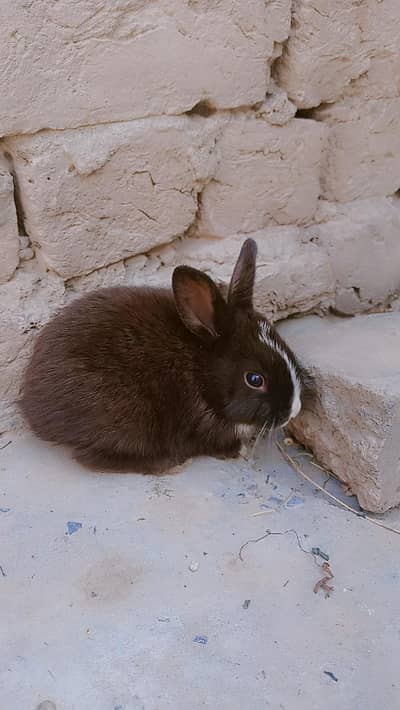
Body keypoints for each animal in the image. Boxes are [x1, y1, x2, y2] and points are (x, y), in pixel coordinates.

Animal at [21, 238, 311, 474]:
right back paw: (171, 464)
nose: (294, 410)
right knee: (92, 458)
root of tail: (32, 406)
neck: (201, 373)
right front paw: (237, 451)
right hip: (128, 417)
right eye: (254, 379)